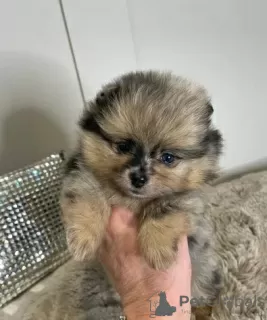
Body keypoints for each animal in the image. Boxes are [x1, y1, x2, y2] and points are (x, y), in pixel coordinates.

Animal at [60, 70, 224, 318]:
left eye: (168, 157)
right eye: (123, 147)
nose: (138, 179)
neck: (131, 199)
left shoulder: (190, 197)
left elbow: (164, 206)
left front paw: (157, 250)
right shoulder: (81, 170)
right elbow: (88, 195)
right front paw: (83, 239)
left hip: (203, 272)